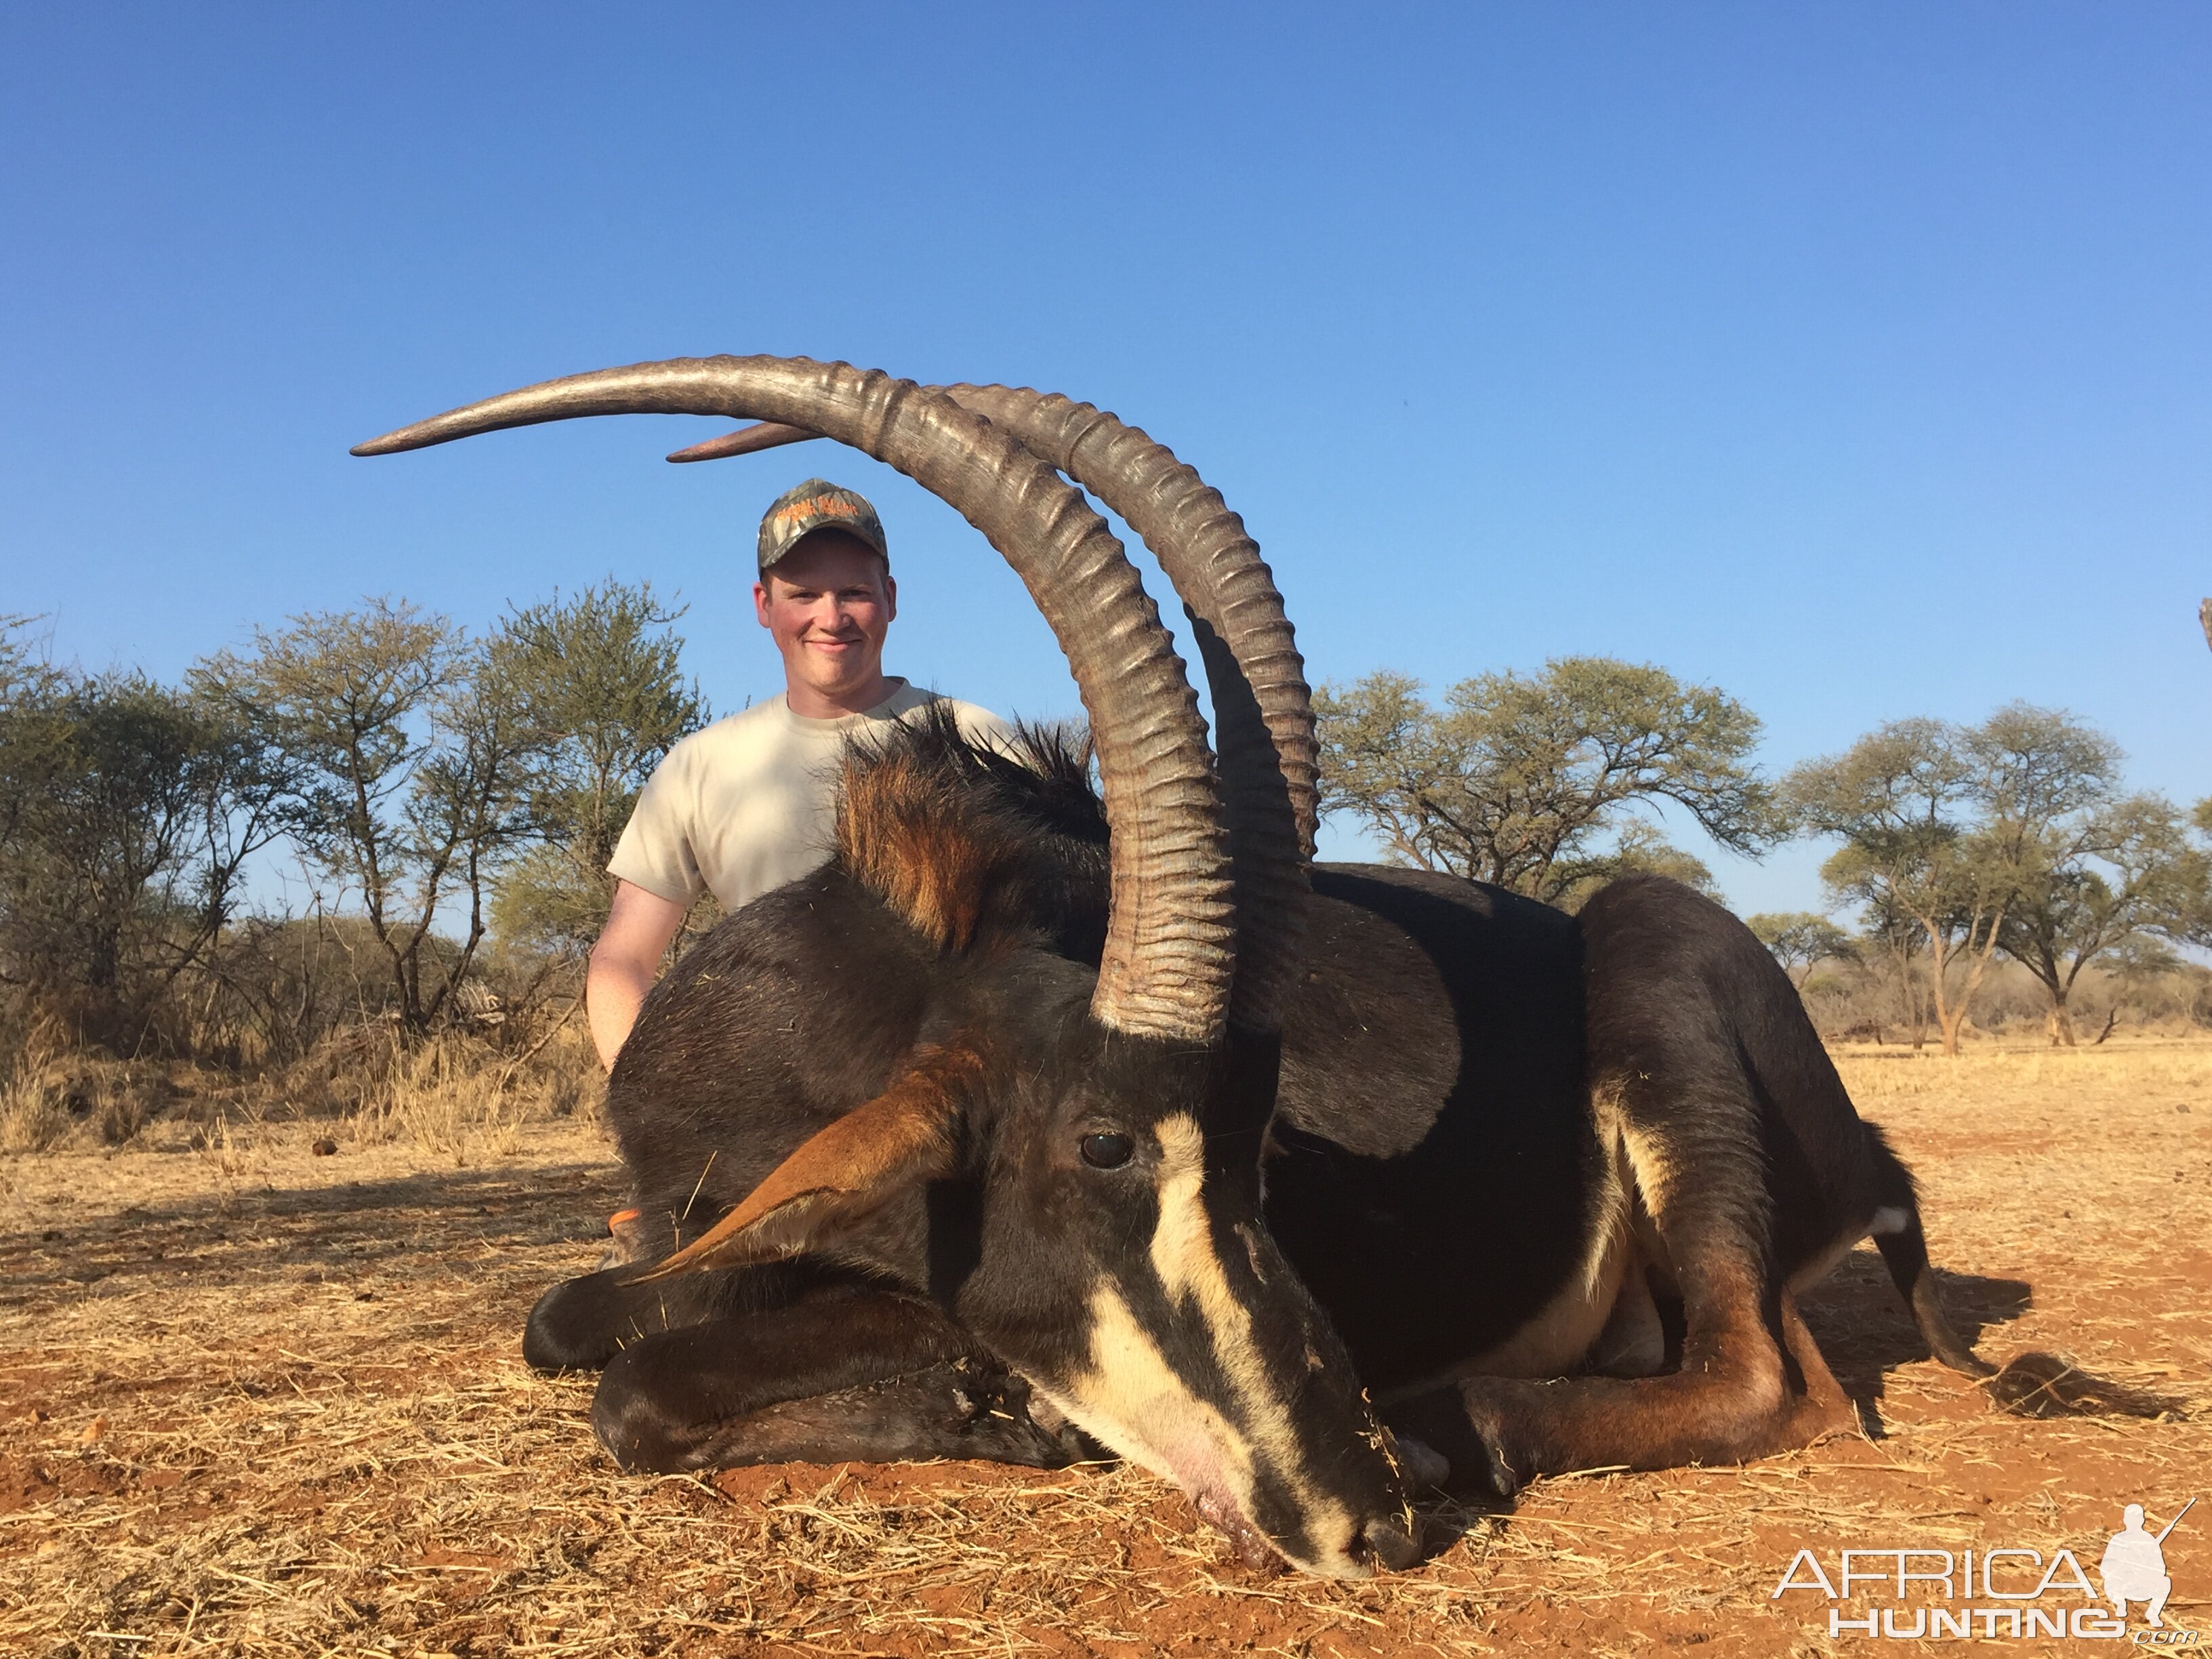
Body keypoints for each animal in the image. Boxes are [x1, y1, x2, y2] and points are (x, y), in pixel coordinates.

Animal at [358, 361, 2088, 1584]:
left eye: (1266, 1151)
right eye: (1104, 1143)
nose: (1365, 1524)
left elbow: (637, 1387)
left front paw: (998, 1401)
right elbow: (573, 1325)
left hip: (1662, 984)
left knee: (1766, 1382)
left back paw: (1443, 1426)